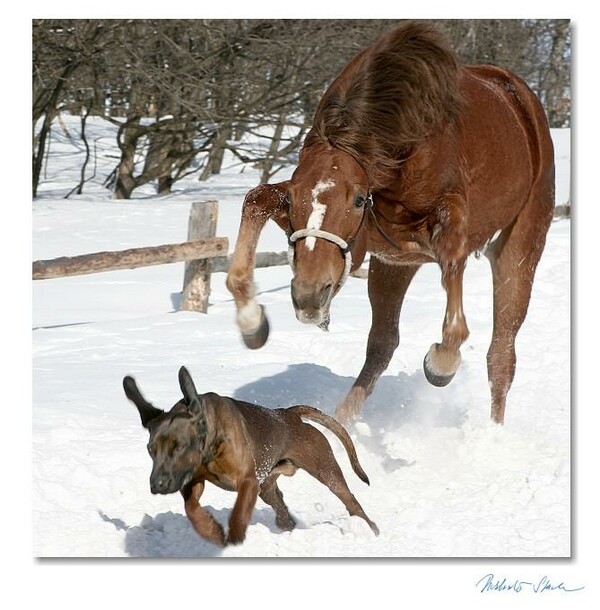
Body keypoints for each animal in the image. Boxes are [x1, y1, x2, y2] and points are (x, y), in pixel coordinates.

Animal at [123, 364, 380, 544]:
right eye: (150, 450)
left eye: (179, 446)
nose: (157, 484)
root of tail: (290, 415)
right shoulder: (192, 482)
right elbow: (191, 508)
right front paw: (210, 530)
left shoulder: (248, 482)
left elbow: (239, 512)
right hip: (268, 485)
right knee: (281, 508)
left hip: (325, 468)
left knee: (351, 501)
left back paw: (371, 530)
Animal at [225, 22, 552, 422]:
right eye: (295, 199)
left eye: (357, 199)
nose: (309, 295)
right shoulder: (372, 239)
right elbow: (255, 200)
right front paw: (251, 322)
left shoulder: (448, 219)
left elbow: (454, 281)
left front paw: (441, 363)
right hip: (394, 266)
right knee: (383, 342)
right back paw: (342, 420)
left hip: (519, 247)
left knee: (502, 352)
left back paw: (492, 429)